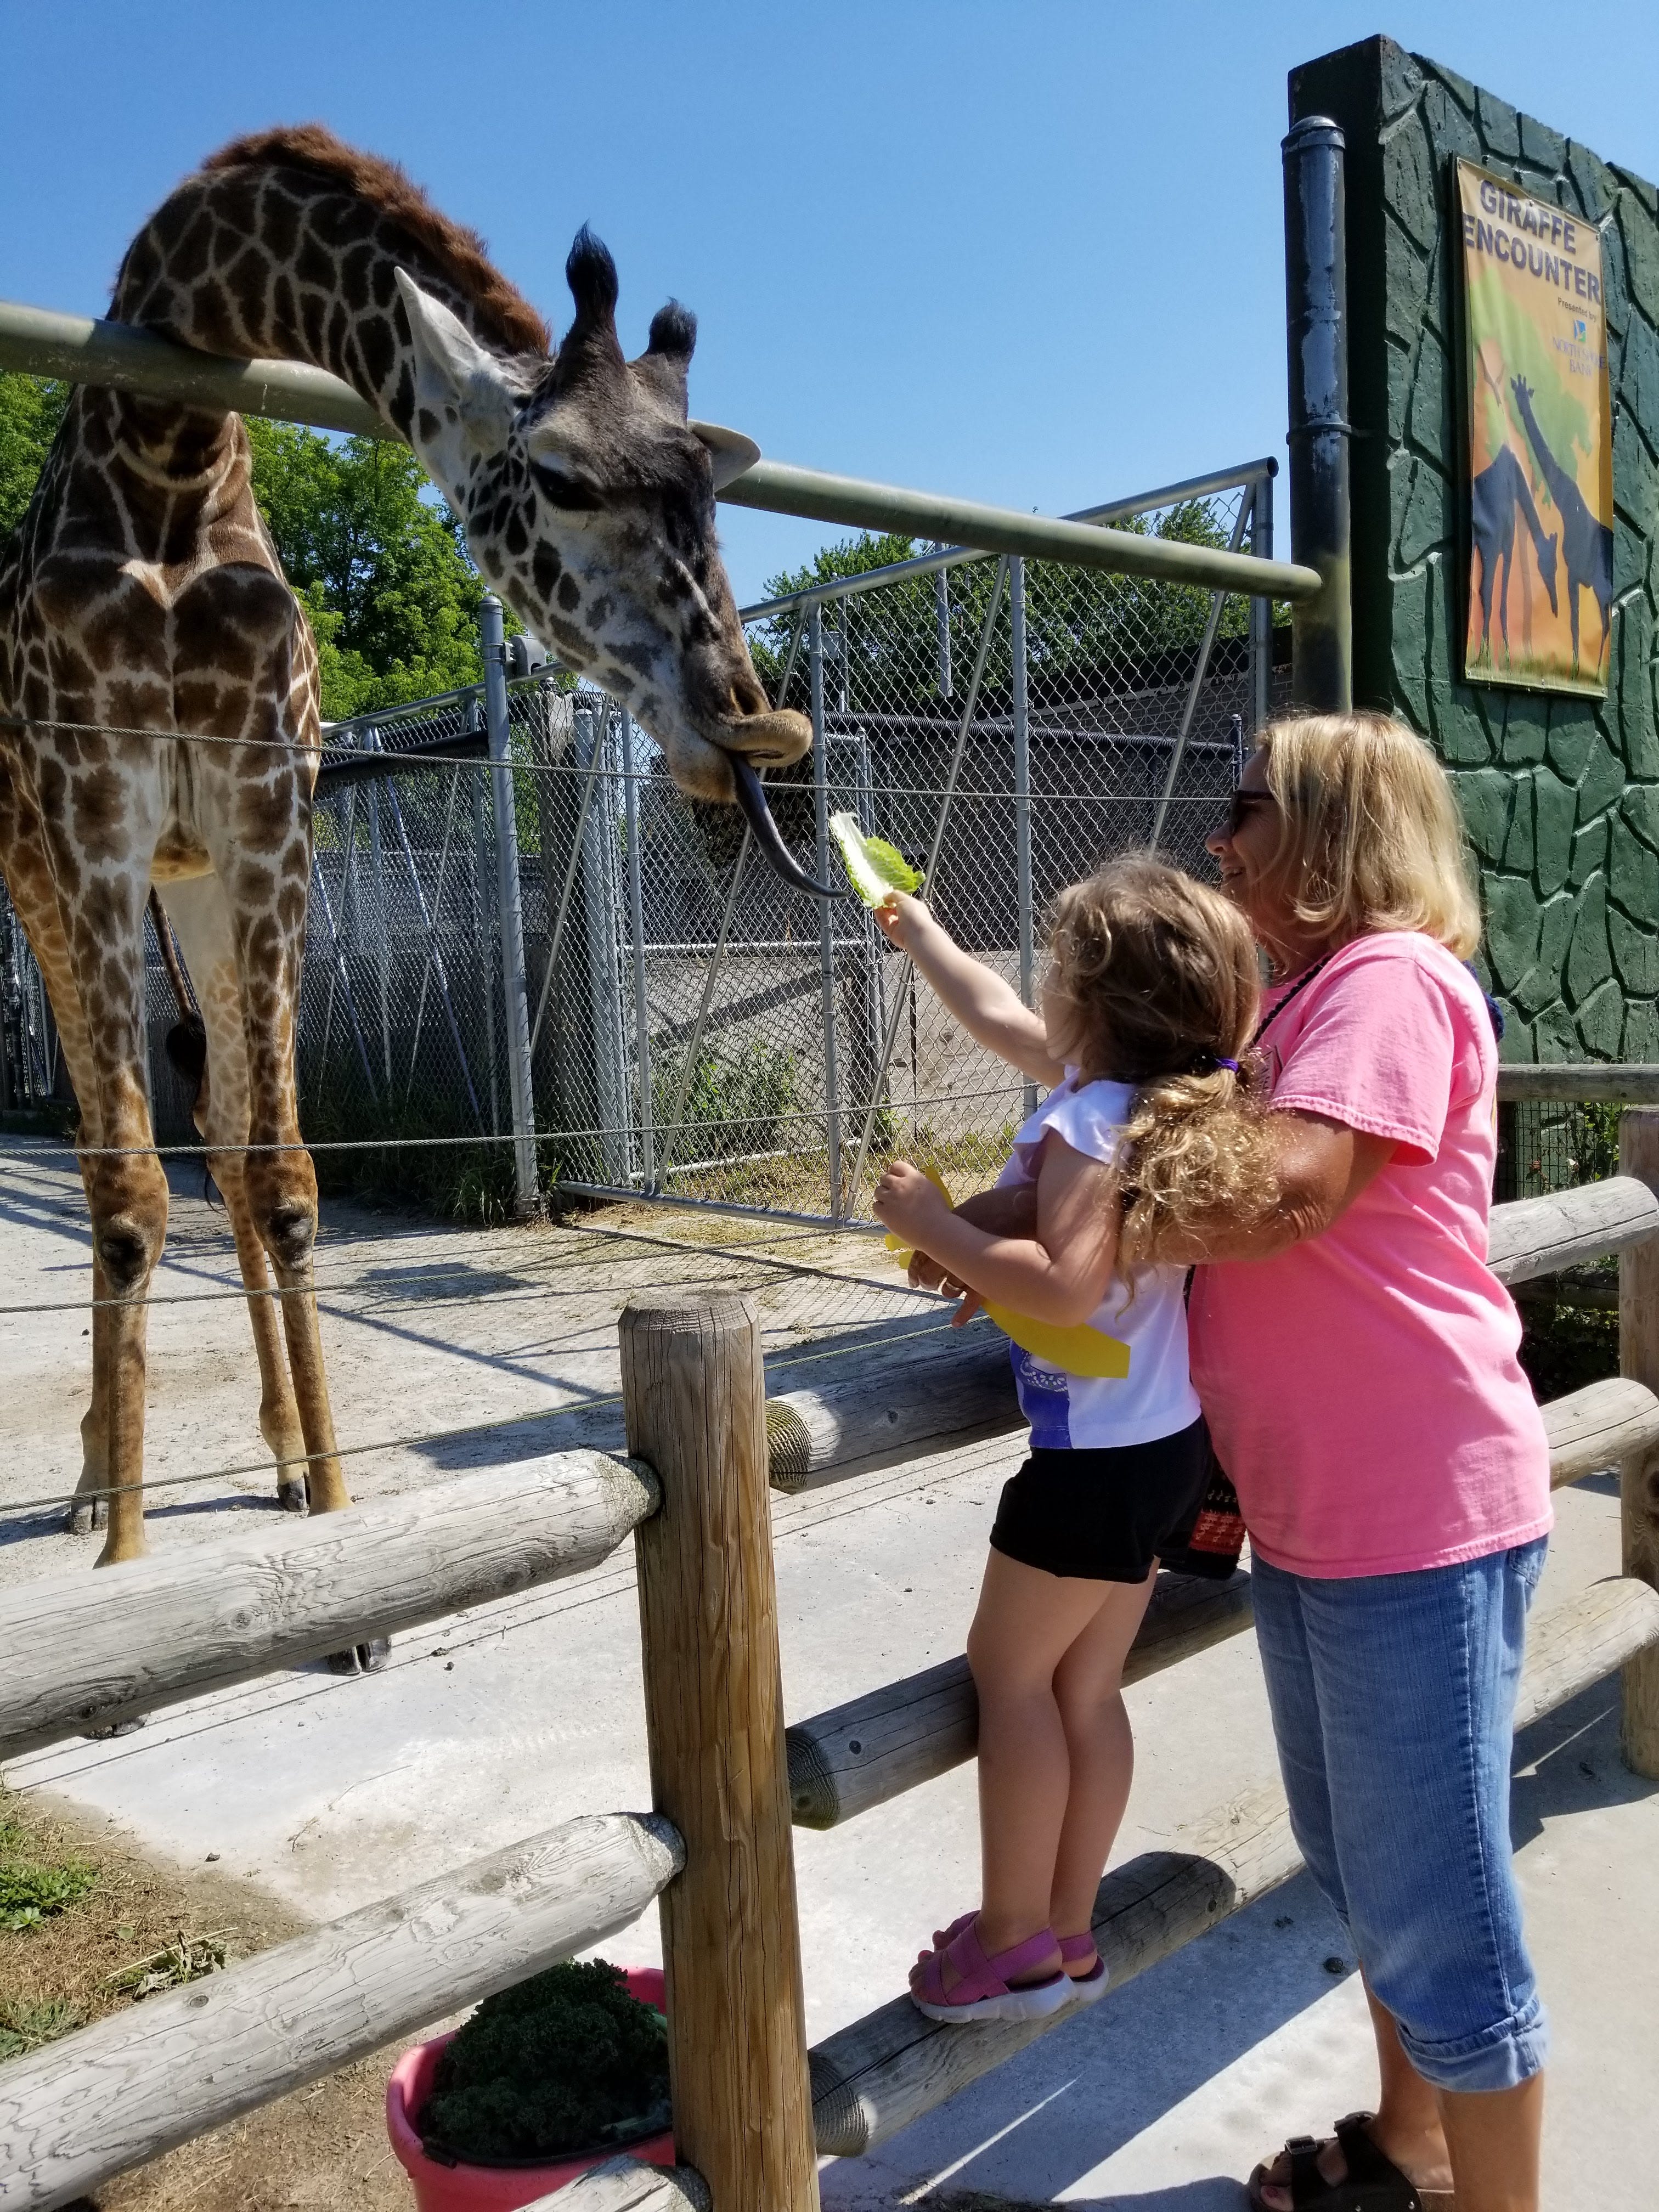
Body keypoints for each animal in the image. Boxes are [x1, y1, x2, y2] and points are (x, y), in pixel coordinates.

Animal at [0, 125, 818, 1593]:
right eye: (564, 480)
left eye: (711, 497)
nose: (746, 730)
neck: (166, 456)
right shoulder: (94, 811)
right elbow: (136, 1191)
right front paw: (132, 1565)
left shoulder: (267, 814)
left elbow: (285, 1178)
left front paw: (331, 1517)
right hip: (41, 867)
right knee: (112, 1154)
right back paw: (96, 1490)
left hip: (186, 882)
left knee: (219, 1133)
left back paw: (268, 1453)